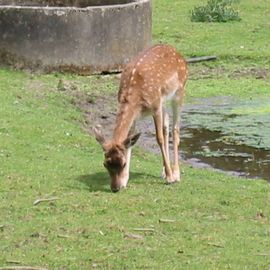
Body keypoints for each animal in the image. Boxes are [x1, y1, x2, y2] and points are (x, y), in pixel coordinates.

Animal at [95, 43, 188, 192]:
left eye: (123, 163)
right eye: (105, 164)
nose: (115, 188)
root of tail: (179, 54)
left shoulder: (155, 106)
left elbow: (159, 138)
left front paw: (170, 178)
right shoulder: (137, 114)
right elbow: (130, 140)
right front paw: (125, 180)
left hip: (179, 91)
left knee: (175, 129)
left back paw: (176, 173)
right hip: (163, 100)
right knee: (166, 123)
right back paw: (164, 171)